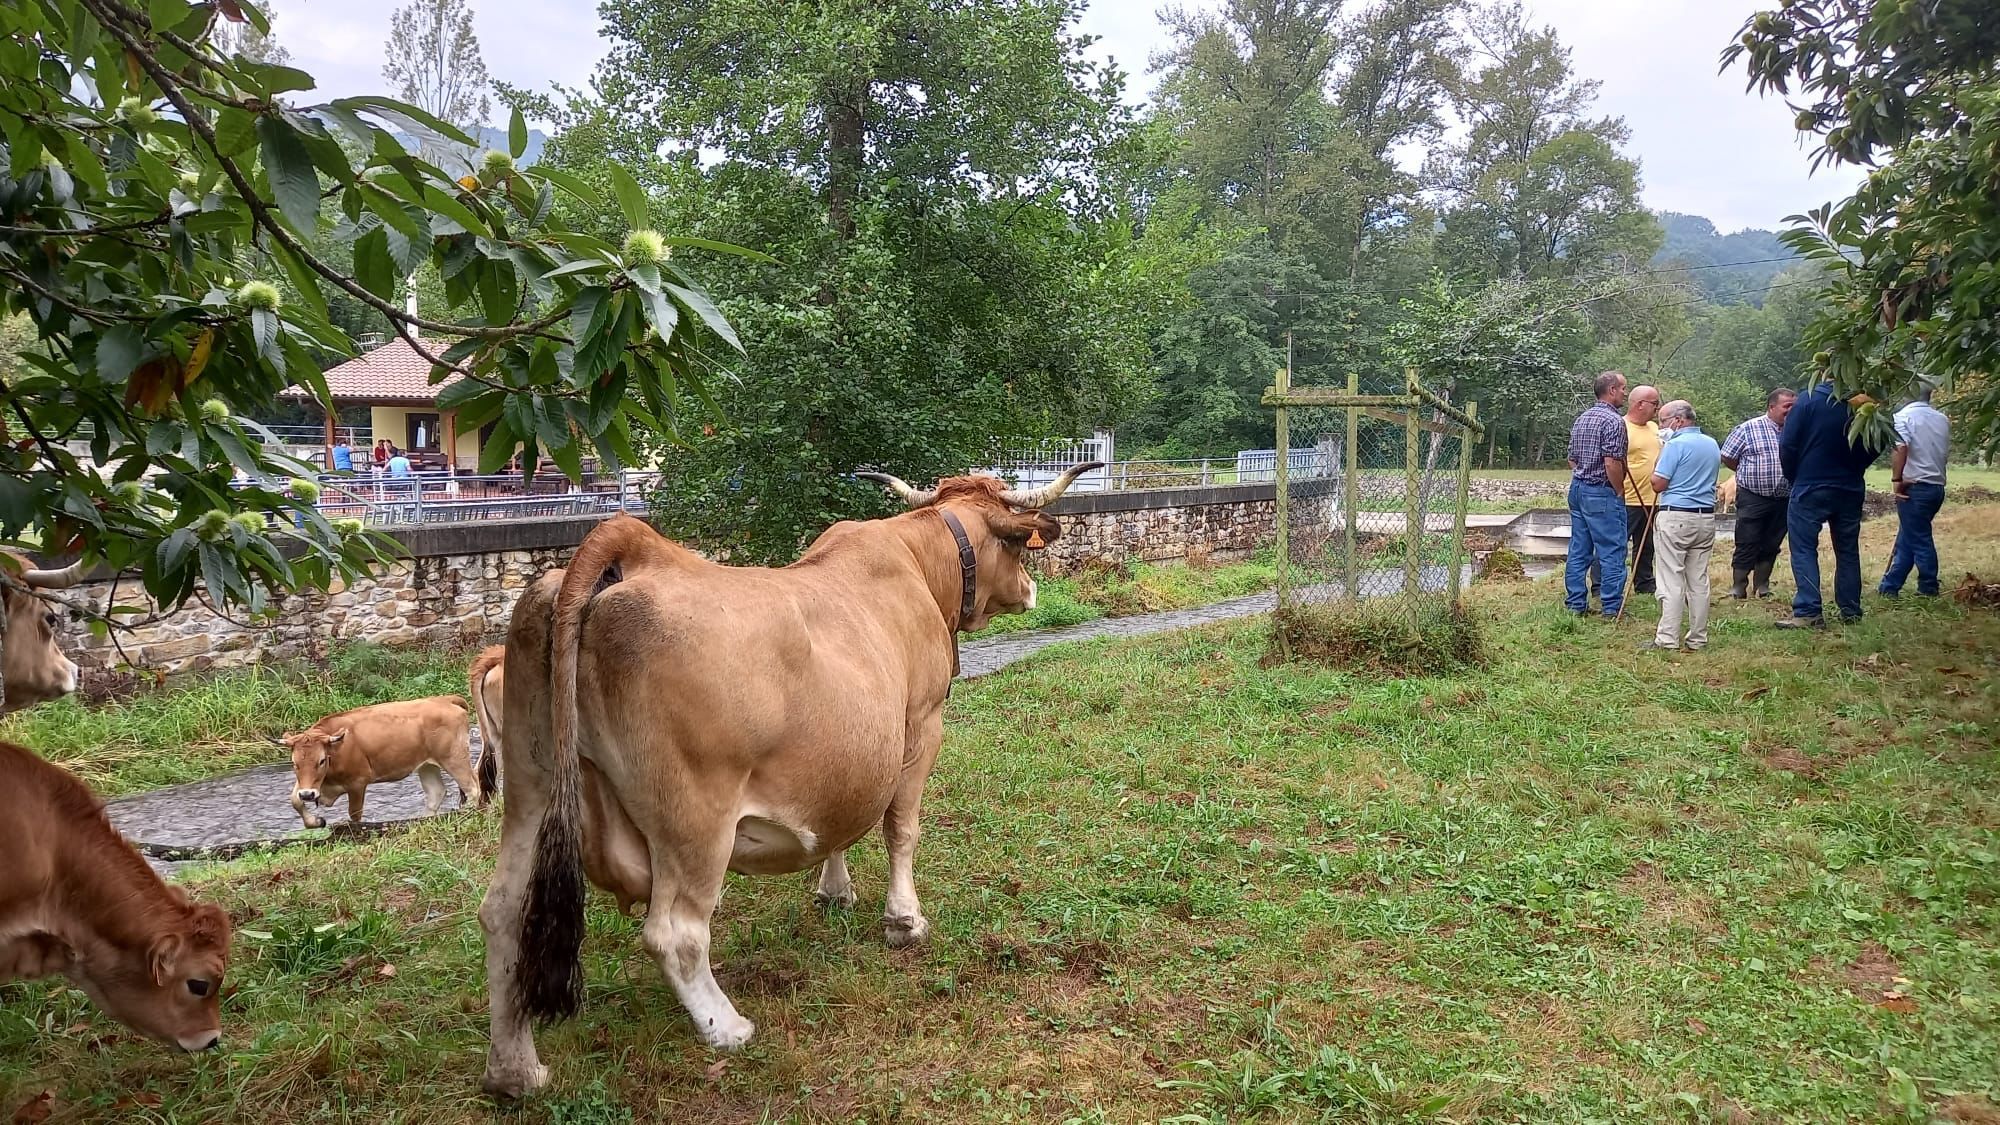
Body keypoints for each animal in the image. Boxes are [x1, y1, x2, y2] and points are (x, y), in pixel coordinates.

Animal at [278, 692, 484, 824]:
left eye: (321, 760)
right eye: (295, 763)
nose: (308, 795)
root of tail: (445, 699)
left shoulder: (357, 783)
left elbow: (354, 815)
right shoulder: (308, 784)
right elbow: (294, 800)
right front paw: (315, 821)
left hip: (454, 758)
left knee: (472, 788)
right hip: (427, 765)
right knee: (436, 793)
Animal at [482, 460, 1104, 1088]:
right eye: (1018, 549)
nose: (1031, 592)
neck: (919, 560)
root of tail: (635, 548)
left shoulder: (843, 757)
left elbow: (842, 816)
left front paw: (835, 889)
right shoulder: (921, 725)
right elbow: (901, 829)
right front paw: (904, 920)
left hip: (532, 785)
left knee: (504, 911)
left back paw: (516, 1069)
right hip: (695, 815)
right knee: (675, 932)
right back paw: (727, 1027)